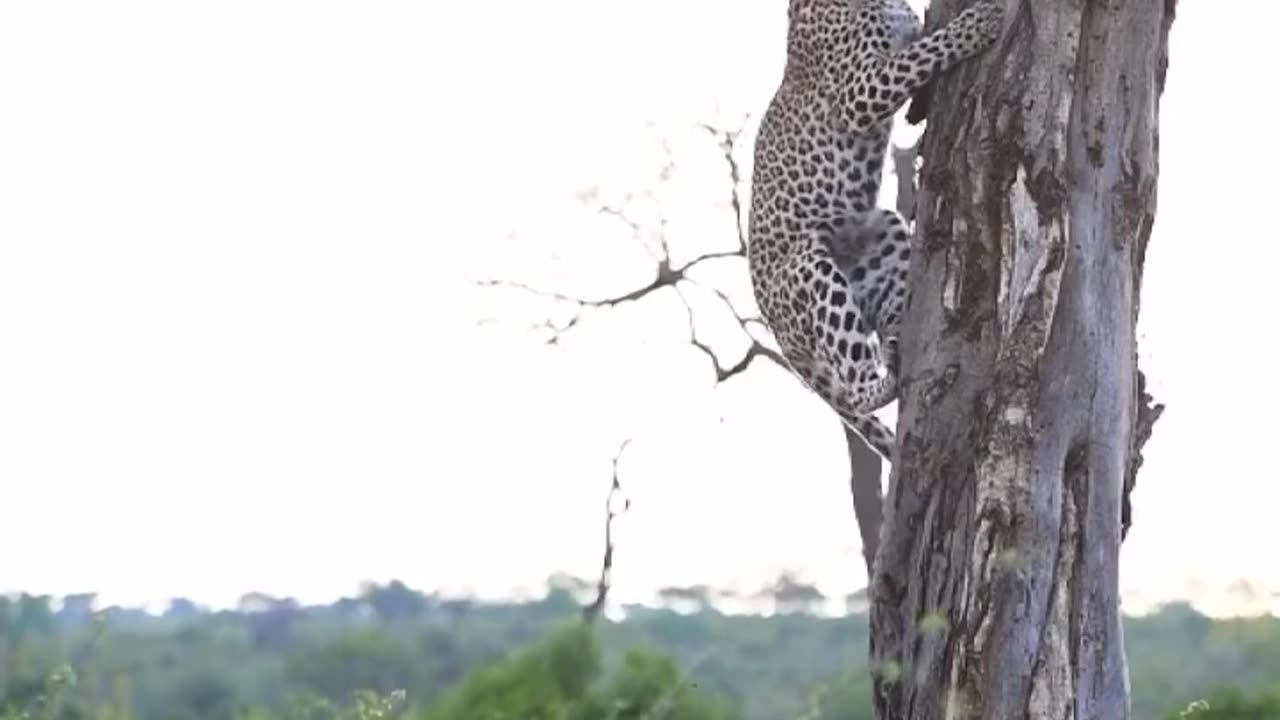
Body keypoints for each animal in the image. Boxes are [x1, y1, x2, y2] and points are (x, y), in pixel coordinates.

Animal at [747, 0, 1003, 458]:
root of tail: (775, 328)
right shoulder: (857, 91)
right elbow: (918, 58)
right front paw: (976, 24)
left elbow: (918, 51)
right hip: (807, 268)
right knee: (854, 388)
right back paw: (879, 383)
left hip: (883, 236)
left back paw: (899, 340)